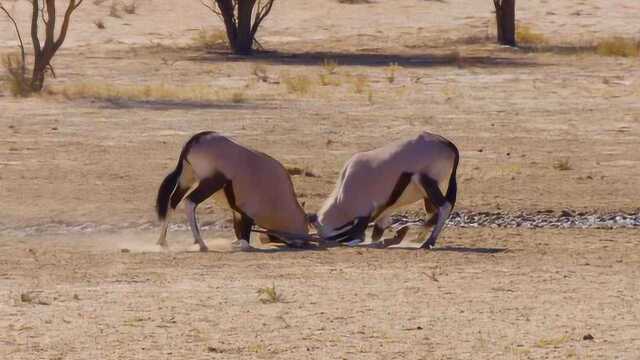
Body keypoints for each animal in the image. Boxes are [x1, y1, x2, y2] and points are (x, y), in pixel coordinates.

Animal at [155, 131, 310, 252]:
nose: (304, 243)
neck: (278, 197)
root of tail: (195, 140)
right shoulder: (248, 214)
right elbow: (245, 239)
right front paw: (241, 246)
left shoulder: (237, 211)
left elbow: (238, 231)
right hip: (210, 183)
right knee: (189, 202)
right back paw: (201, 244)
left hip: (187, 179)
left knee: (173, 201)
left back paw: (162, 242)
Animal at [312, 133, 458, 250]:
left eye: (341, 235)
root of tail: (447, 144)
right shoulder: (384, 211)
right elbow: (377, 233)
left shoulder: (363, 214)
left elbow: (373, 237)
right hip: (427, 193)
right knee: (433, 213)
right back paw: (418, 237)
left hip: (426, 183)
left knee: (444, 207)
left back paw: (427, 241)